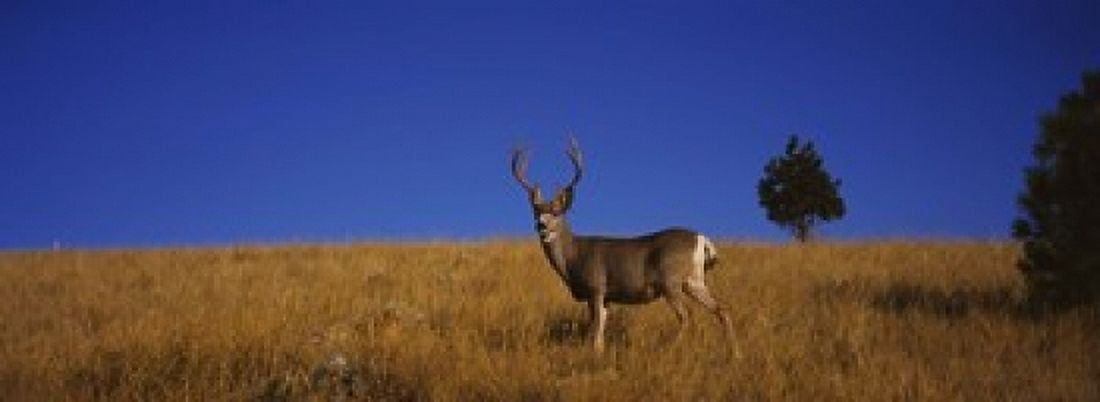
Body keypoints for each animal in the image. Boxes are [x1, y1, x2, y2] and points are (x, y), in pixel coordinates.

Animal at [511, 138, 732, 352]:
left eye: (557, 213)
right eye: (536, 211)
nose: (541, 225)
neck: (574, 256)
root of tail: (701, 238)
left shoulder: (596, 287)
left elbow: (596, 329)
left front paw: (595, 354)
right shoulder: (606, 297)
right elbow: (600, 330)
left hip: (671, 281)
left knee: (686, 316)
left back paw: (670, 349)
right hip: (694, 281)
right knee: (722, 310)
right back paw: (733, 354)